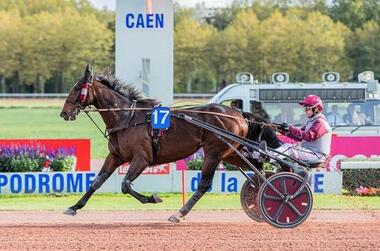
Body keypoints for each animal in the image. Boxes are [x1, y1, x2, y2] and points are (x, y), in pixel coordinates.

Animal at [60, 64, 282, 222]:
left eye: (77, 88)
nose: (64, 113)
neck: (127, 117)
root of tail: (238, 114)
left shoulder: (141, 158)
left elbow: (125, 185)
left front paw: (153, 198)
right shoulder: (116, 156)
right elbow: (97, 181)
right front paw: (73, 207)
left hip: (214, 153)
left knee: (205, 184)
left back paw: (179, 213)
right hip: (232, 153)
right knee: (259, 170)